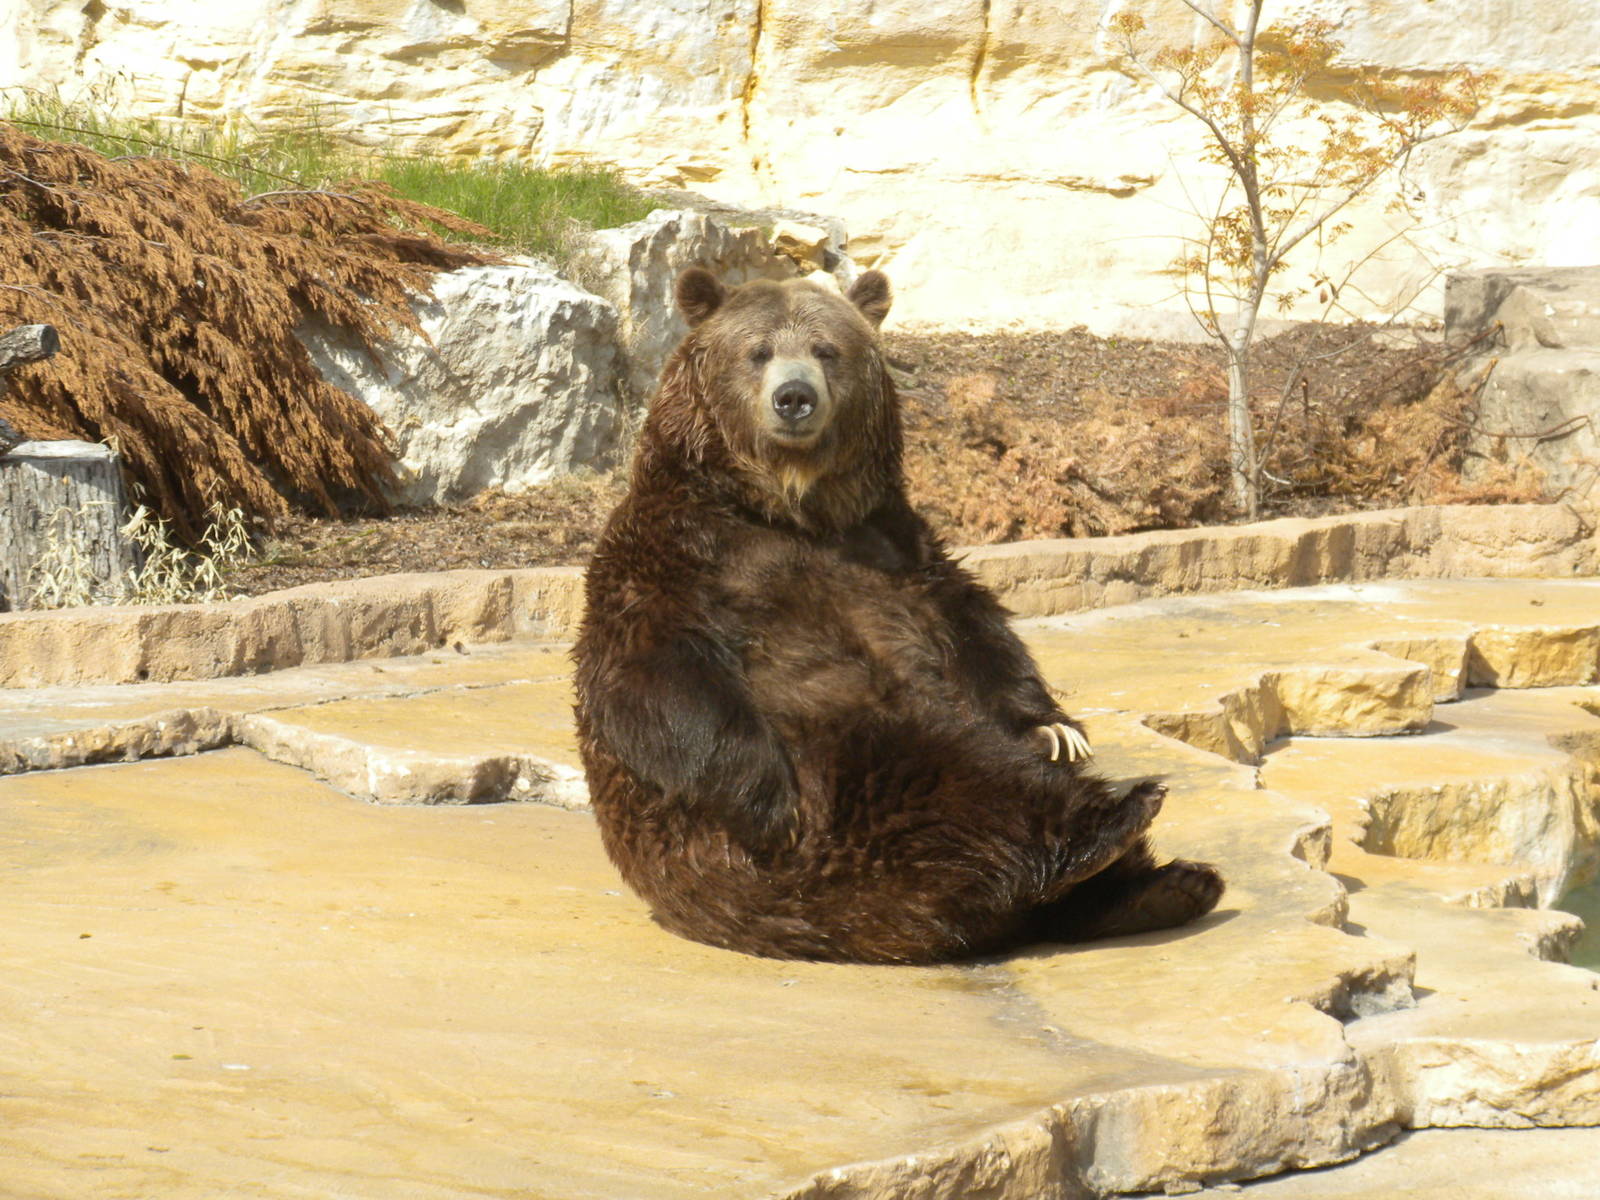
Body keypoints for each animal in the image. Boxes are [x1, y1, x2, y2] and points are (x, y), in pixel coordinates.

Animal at [572, 267, 1223, 964]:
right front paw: (769, 800)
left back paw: (1164, 883)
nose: (795, 398)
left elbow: (975, 627)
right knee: (958, 790)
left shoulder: (895, 547)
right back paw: (1119, 821)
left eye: (827, 350)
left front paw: (1053, 728)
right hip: (845, 793)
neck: (789, 508)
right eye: (758, 351)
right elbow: (656, 674)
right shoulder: (680, 556)